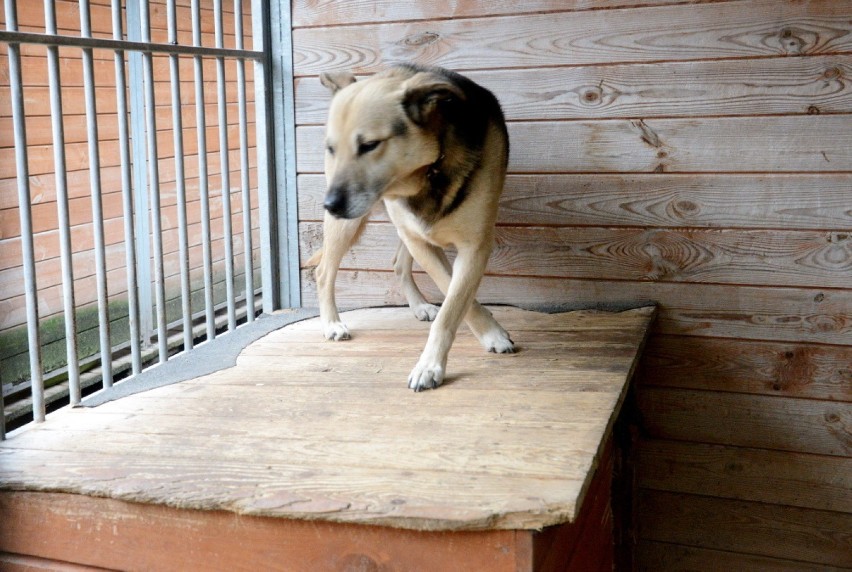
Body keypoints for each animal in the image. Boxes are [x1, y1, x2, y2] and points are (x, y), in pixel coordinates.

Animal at [306, 63, 512, 394]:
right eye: (331, 148)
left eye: (369, 145)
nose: (330, 205)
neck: (427, 173)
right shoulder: (424, 240)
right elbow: (452, 292)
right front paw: (485, 332)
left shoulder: (475, 246)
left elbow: (453, 302)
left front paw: (436, 360)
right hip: (352, 225)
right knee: (325, 271)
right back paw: (332, 324)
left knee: (398, 263)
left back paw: (419, 306)